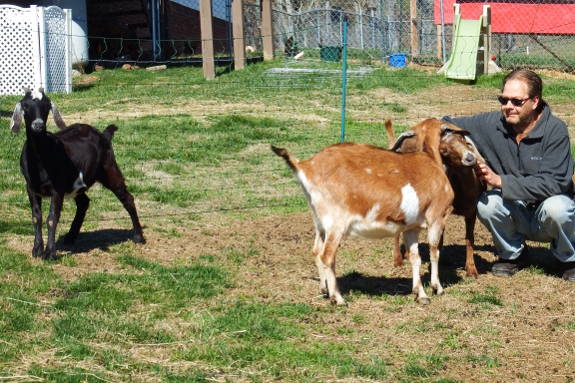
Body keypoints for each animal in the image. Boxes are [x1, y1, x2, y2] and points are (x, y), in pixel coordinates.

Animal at [10, 87, 145, 260]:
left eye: (47, 106)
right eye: (25, 106)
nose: (38, 125)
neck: (40, 160)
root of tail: (103, 134)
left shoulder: (57, 189)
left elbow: (52, 219)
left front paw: (50, 253)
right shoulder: (31, 187)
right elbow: (36, 217)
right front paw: (37, 250)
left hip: (109, 168)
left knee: (127, 198)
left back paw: (138, 236)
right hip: (76, 184)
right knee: (84, 202)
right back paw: (70, 236)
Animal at [272, 123, 474, 306]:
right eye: (452, 140)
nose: (471, 158)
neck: (432, 160)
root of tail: (304, 166)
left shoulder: (411, 228)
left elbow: (415, 258)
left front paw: (420, 294)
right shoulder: (436, 217)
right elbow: (434, 252)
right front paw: (437, 288)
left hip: (320, 221)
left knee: (316, 250)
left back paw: (325, 290)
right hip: (336, 222)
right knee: (327, 256)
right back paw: (338, 298)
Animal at [388, 118, 486, 278]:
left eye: (463, 139)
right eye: (444, 151)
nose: (470, 158)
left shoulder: (471, 212)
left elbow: (469, 239)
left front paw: (471, 269)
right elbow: (438, 241)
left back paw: (407, 254)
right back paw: (398, 259)